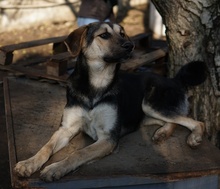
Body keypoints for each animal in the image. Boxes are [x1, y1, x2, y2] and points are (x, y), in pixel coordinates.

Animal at [14, 22, 207, 182]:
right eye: (104, 35)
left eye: (122, 34)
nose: (130, 46)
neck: (97, 84)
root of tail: (175, 80)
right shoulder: (66, 128)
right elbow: (46, 147)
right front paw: (28, 163)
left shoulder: (108, 138)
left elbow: (79, 153)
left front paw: (56, 168)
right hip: (145, 113)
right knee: (173, 121)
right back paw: (162, 133)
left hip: (150, 104)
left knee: (194, 121)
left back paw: (194, 137)